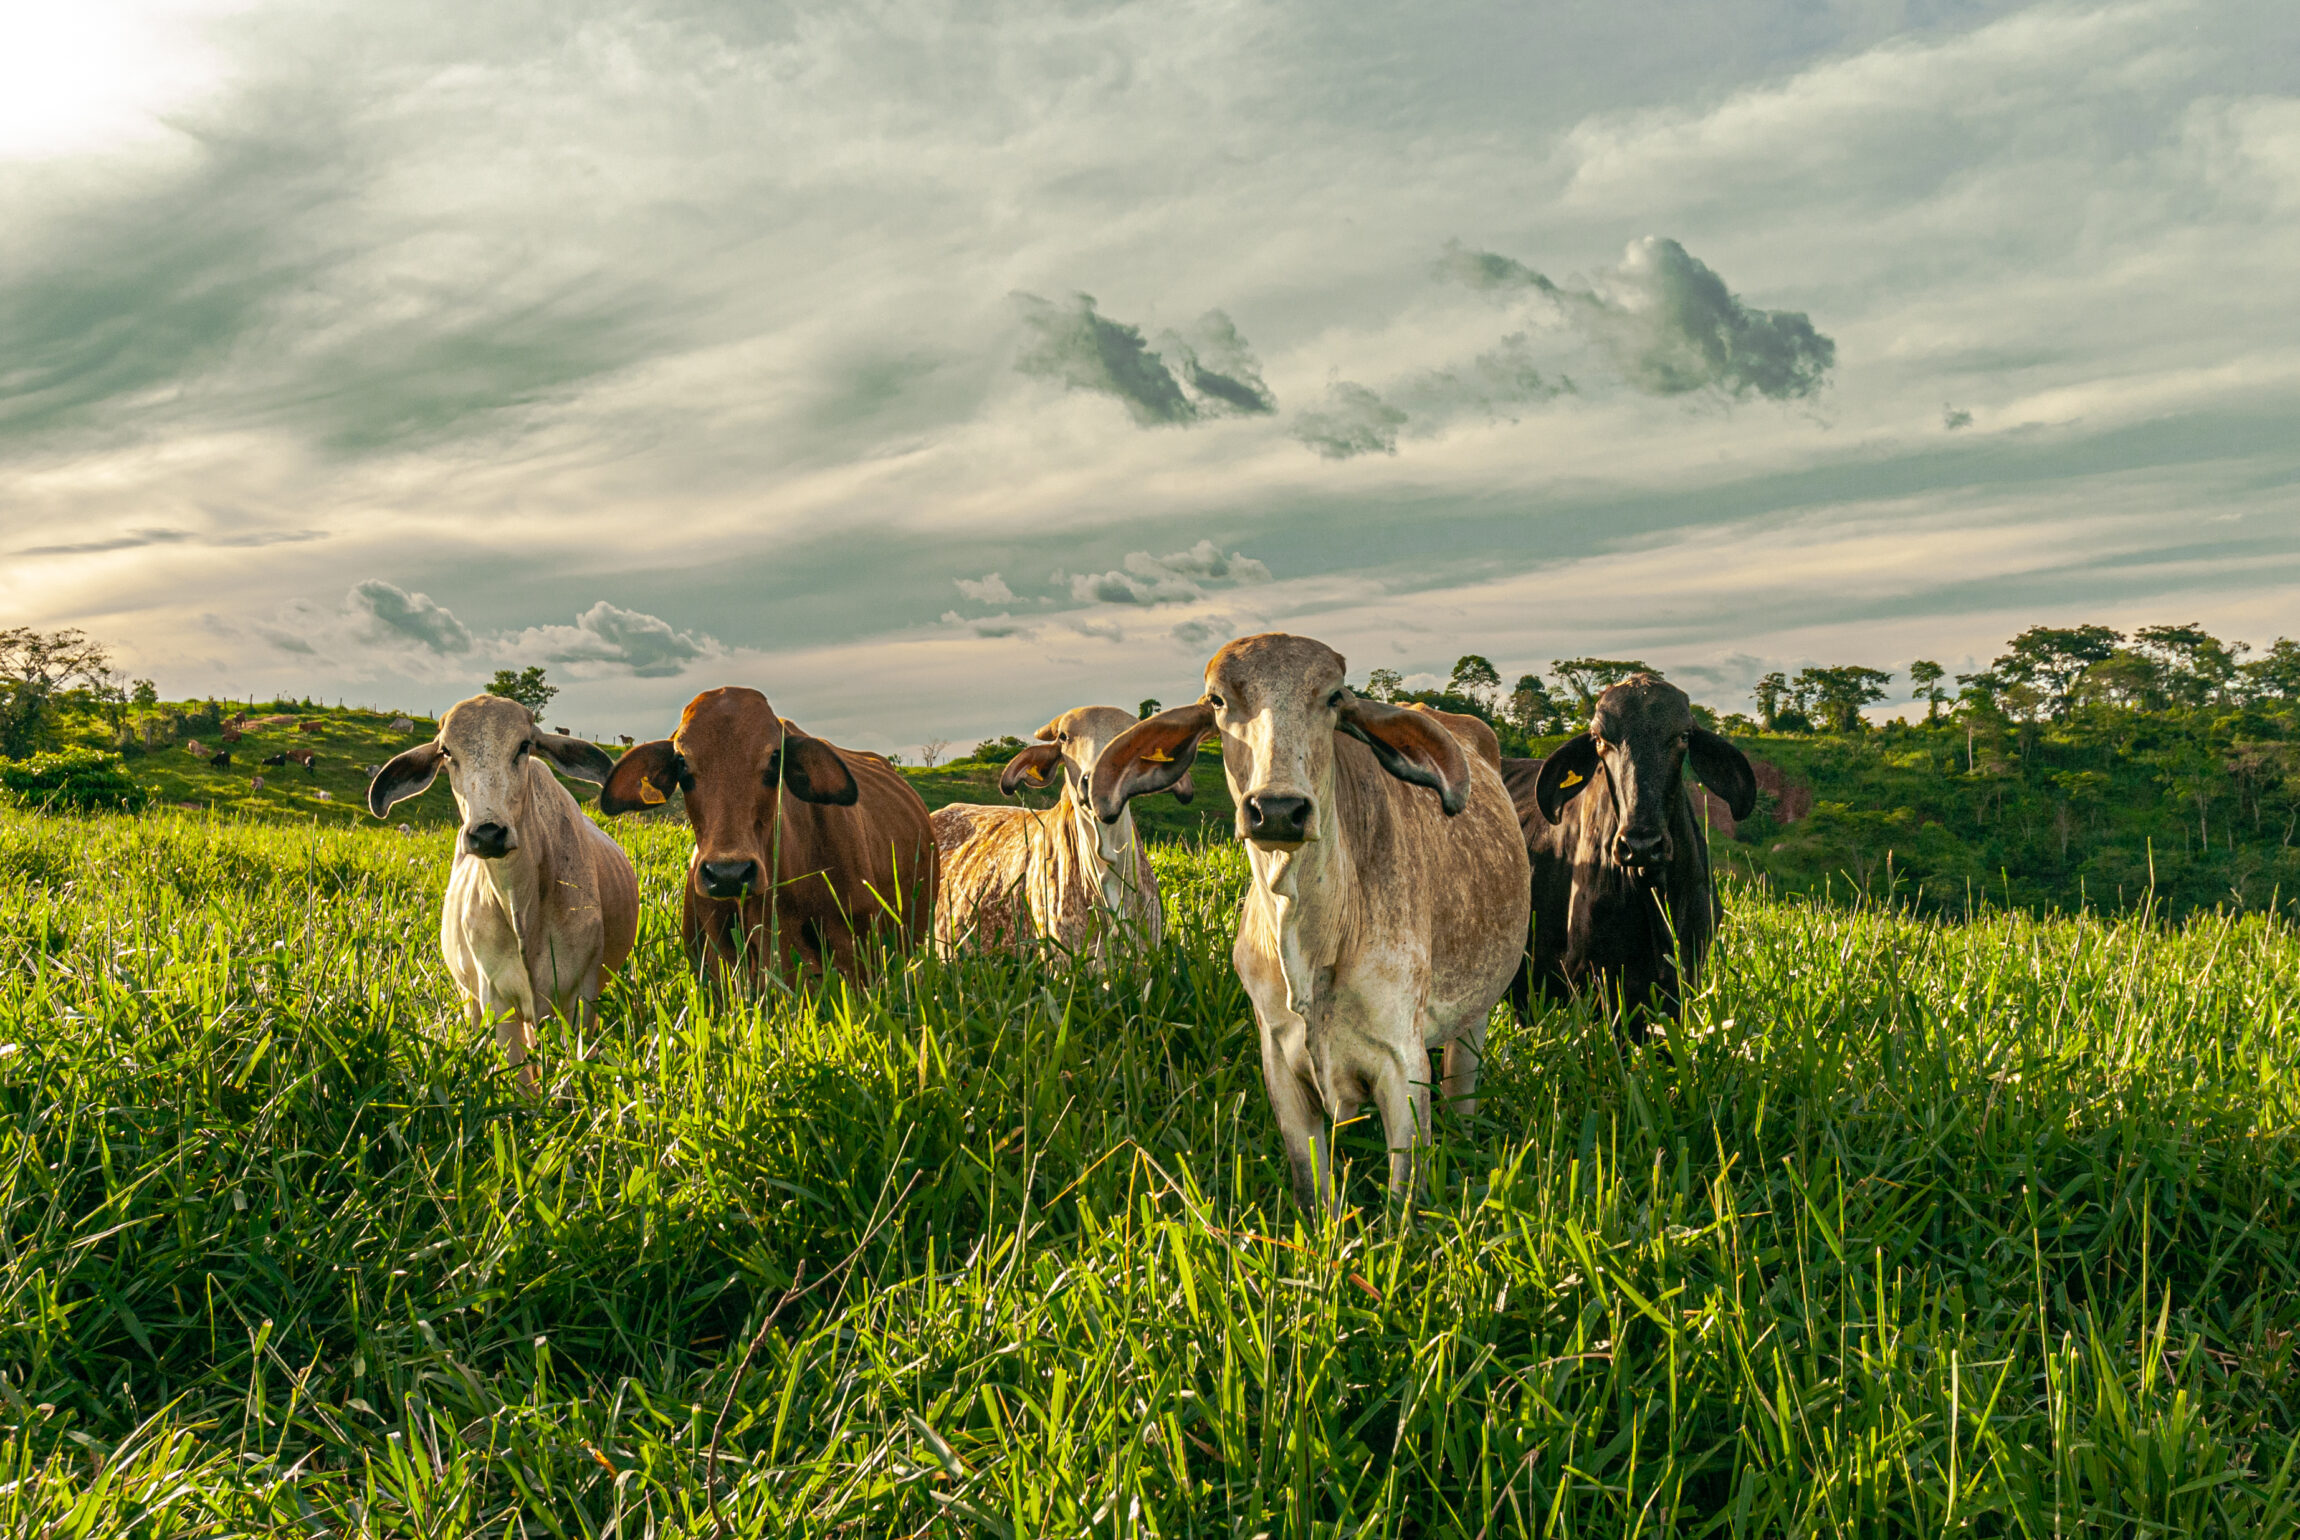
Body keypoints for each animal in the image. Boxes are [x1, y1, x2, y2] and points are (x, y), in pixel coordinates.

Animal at [370, 694, 644, 1094]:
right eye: (446, 752)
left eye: (524, 745)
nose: (488, 833)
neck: (523, 911)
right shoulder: (498, 1002)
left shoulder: (580, 997)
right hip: (471, 998)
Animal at [1090, 634, 1527, 1213]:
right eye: (1217, 701)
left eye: (1335, 697)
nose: (1277, 809)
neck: (1310, 943)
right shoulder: (1280, 1061)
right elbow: (1311, 1187)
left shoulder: (1403, 1066)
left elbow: (1402, 1201)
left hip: (1474, 1021)